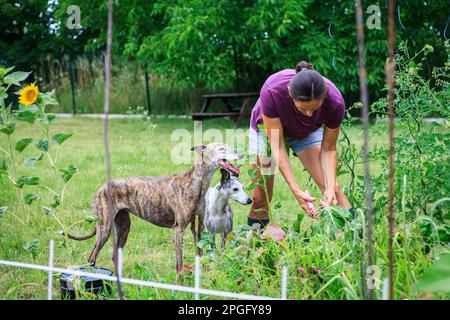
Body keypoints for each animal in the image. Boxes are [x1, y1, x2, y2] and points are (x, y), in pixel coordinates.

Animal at [63, 144, 243, 274]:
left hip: (124, 227)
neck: (195, 182)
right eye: (221, 148)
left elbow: (200, 254)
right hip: (104, 228)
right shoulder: (179, 228)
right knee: (91, 257)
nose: (241, 153)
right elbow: (179, 262)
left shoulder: (197, 228)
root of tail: (99, 189)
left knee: (114, 256)